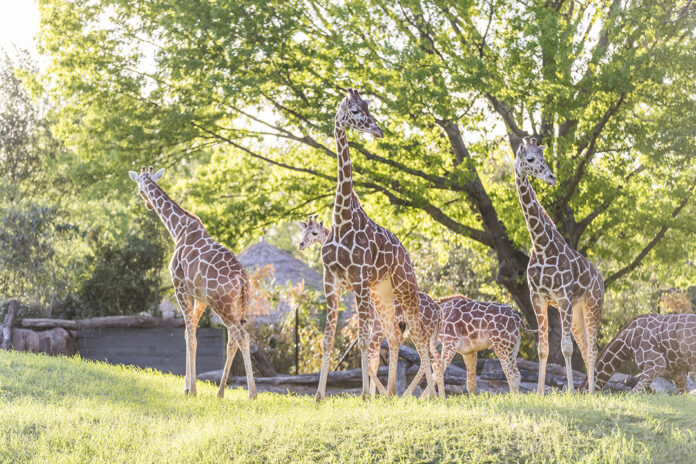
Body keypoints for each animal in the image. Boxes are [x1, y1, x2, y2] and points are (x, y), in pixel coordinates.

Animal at [128, 166, 256, 398]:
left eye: (140, 190)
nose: (147, 203)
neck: (178, 229)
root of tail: (242, 279)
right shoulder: (200, 297)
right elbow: (189, 333)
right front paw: (187, 385)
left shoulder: (180, 286)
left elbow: (191, 337)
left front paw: (192, 389)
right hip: (240, 304)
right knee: (233, 340)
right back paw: (220, 392)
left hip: (222, 304)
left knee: (241, 336)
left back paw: (252, 394)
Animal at [298, 216, 440, 396]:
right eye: (304, 231)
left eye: (315, 232)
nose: (301, 244)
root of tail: (438, 310)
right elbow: (374, 362)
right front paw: (376, 394)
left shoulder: (377, 327)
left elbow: (372, 363)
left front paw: (377, 394)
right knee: (430, 357)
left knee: (426, 356)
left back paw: (410, 395)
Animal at [318, 89, 438, 400]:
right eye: (356, 111)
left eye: (368, 108)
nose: (378, 130)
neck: (341, 220)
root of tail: (406, 254)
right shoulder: (331, 280)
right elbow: (328, 339)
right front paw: (319, 395)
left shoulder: (358, 280)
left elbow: (361, 340)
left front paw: (362, 394)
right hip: (381, 292)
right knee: (395, 336)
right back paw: (391, 394)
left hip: (404, 287)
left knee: (419, 337)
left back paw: (431, 395)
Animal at [512, 137, 608, 392]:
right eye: (530, 159)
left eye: (544, 158)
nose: (552, 177)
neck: (541, 247)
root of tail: (600, 278)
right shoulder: (538, 297)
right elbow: (543, 348)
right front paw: (539, 393)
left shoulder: (563, 296)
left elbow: (565, 348)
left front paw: (571, 392)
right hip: (576, 313)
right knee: (585, 348)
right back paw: (588, 392)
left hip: (593, 305)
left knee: (592, 349)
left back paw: (592, 393)